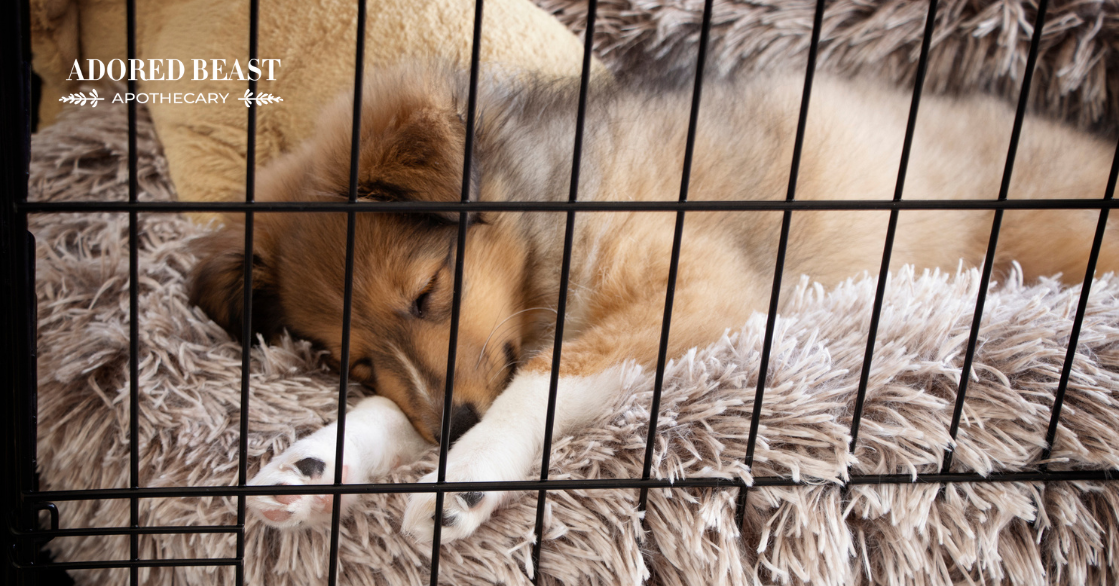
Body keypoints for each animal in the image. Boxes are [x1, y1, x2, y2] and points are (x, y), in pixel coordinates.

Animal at [187, 62, 1114, 541]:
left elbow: (544, 382)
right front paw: (311, 465)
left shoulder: (694, 288)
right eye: (351, 359)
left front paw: (466, 475)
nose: (451, 429)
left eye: (427, 292)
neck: (550, 210)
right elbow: (409, 405)